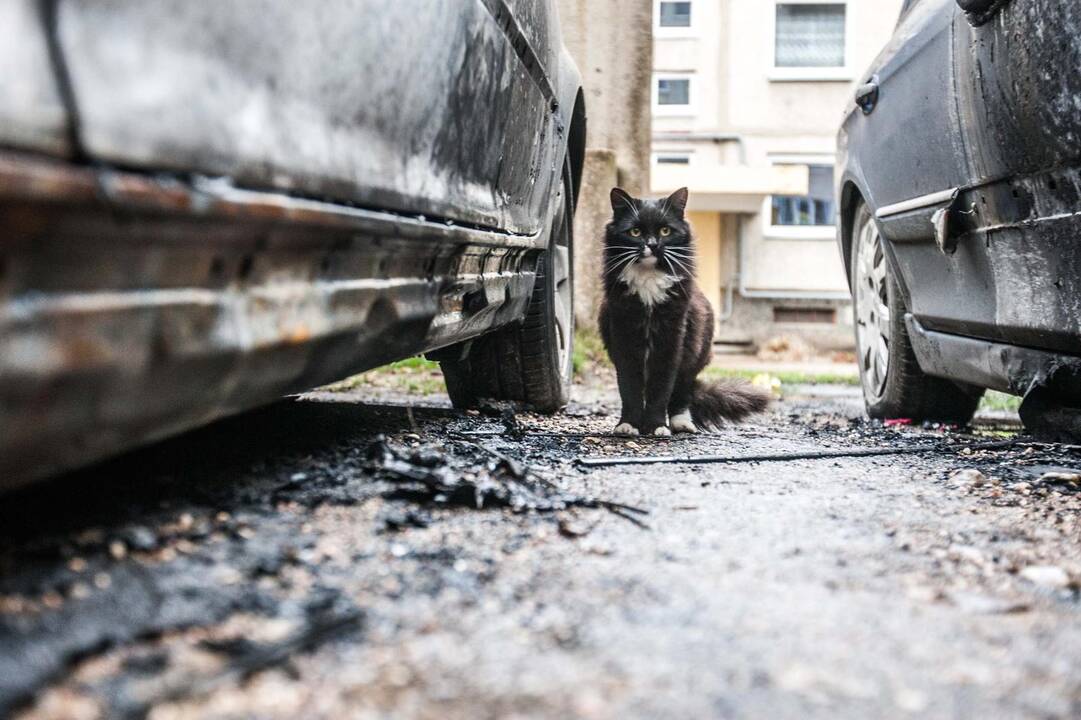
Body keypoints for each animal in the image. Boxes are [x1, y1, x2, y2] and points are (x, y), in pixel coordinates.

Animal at [601, 184, 769, 434]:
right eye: (635, 232)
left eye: (664, 231)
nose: (652, 245)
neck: (649, 281)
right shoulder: (624, 338)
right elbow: (629, 389)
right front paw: (628, 425)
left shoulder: (672, 341)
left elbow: (661, 390)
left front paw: (657, 426)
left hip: (696, 354)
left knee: (682, 392)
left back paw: (681, 423)